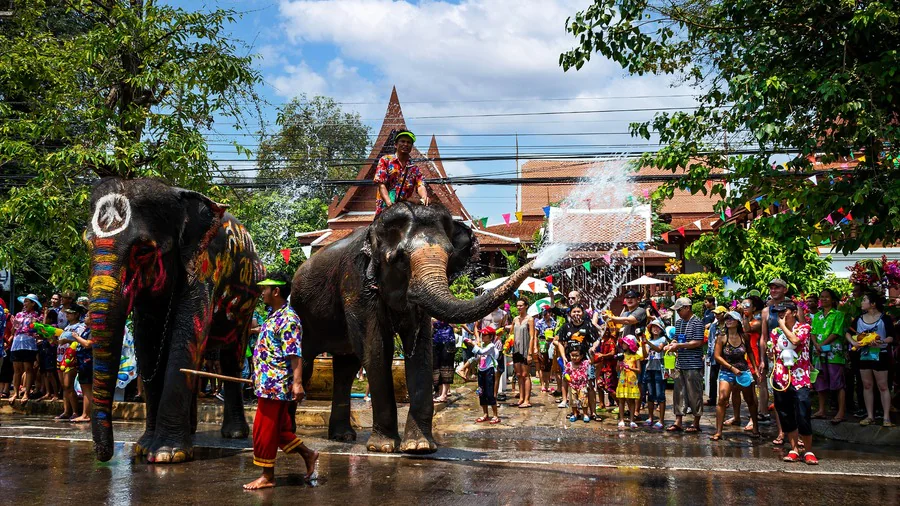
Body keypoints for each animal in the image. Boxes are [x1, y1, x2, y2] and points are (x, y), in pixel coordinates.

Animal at [84, 178, 264, 462]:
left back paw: (234, 434)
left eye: (143, 250)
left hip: (249, 302)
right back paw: (191, 430)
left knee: (231, 358)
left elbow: (186, 338)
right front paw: (144, 447)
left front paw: (166, 454)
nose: (104, 457)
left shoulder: (204, 268)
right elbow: (147, 344)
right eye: (87, 244)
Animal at [294, 202, 536, 454]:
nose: (536, 262)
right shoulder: (356, 285)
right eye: (399, 259)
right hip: (301, 315)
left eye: (449, 255)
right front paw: (384, 447)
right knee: (306, 363)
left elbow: (421, 350)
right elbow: (376, 349)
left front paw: (419, 447)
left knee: (346, 368)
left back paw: (342, 436)